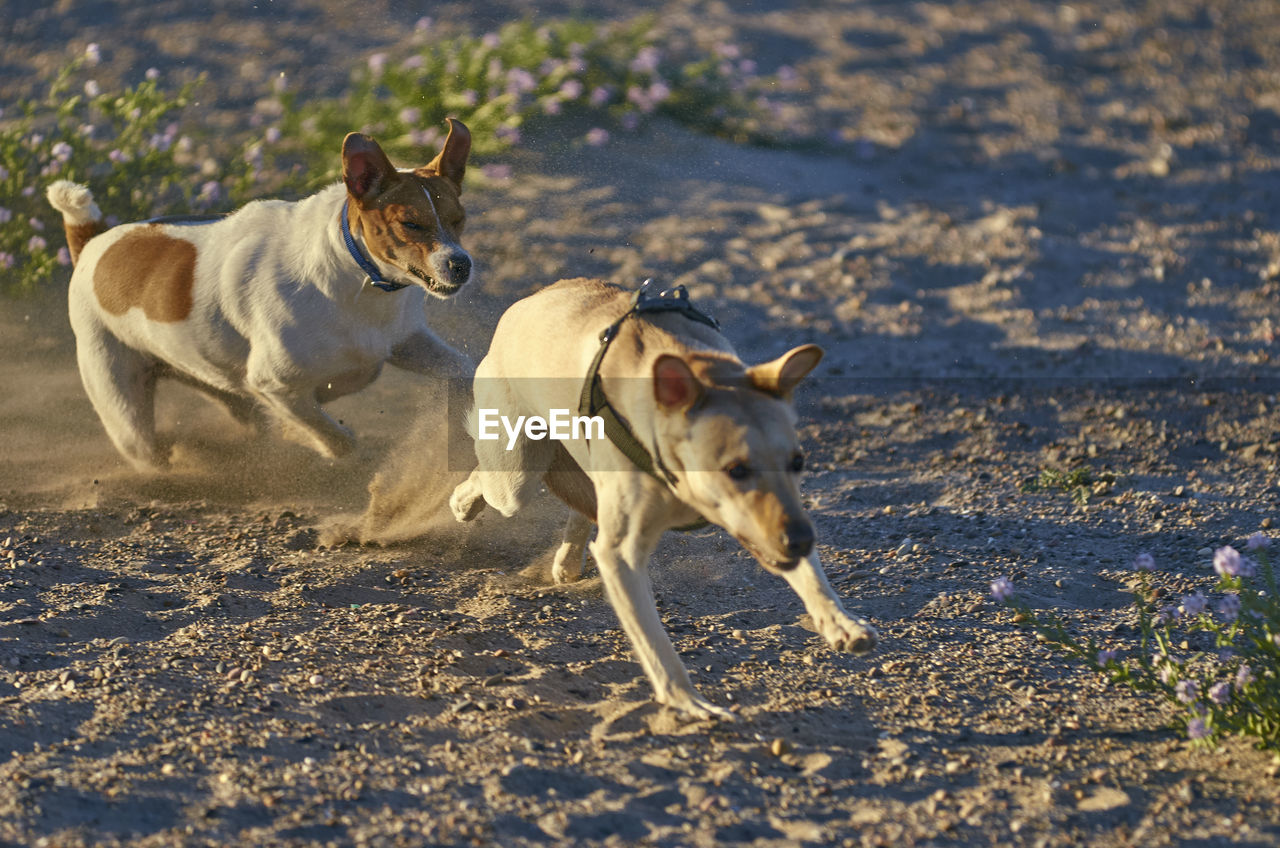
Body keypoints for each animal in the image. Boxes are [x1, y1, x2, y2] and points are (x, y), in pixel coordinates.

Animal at [45, 119, 478, 471]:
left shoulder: (405, 341)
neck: (357, 278)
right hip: (124, 409)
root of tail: (93, 244)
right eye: (410, 224)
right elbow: (338, 439)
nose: (461, 264)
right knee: (146, 447)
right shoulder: (276, 386)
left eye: (459, 219)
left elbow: (465, 370)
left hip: (217, 384)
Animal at [445, 281, 875, 722]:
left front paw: (840, 622)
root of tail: (535, 297)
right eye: (736, 469)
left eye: (798, 461)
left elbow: (809, 573)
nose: (801, 541)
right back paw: (464, 504)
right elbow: (655, 643)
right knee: (489, 478)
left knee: (582, 506)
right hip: (517, 473)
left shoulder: (781, 517)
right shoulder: (621, 554)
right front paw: (687, 699)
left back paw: (566, 560)